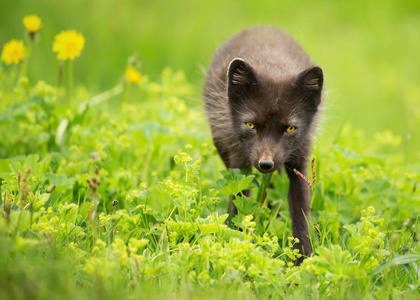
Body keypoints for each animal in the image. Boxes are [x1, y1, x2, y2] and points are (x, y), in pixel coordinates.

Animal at [202, 27, 324, 264]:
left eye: (290, 129)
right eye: (250, 125)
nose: (266, 164)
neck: (273, 67)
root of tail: (262, 27)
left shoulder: (300, 162)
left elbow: (301, 211)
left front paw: (302, 259)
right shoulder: (240, 166)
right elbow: (239, 201)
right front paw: (235, 240)